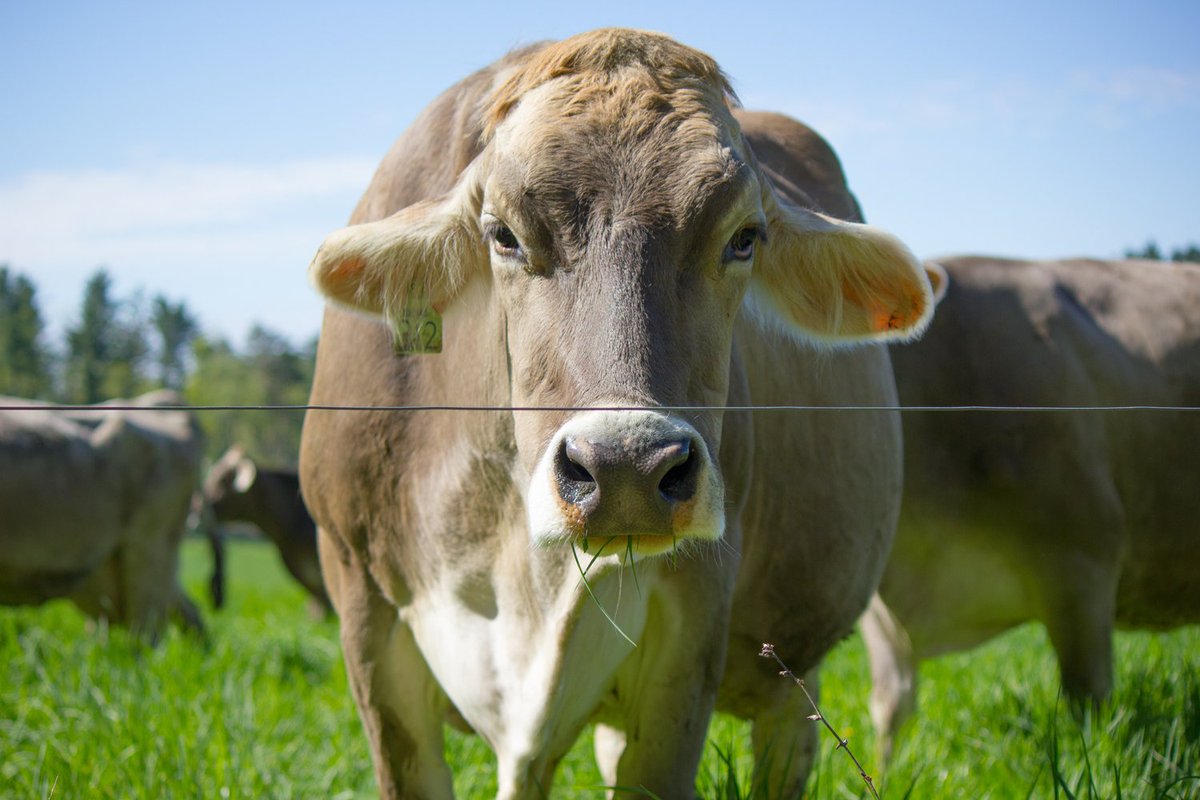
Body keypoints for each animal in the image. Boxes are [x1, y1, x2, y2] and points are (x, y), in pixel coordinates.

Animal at [300, 29, 933, 798]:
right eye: (503, 234)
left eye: (744, 238)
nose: (625, 466)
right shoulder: (363, 610)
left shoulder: (691, 627)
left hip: (796, 670)